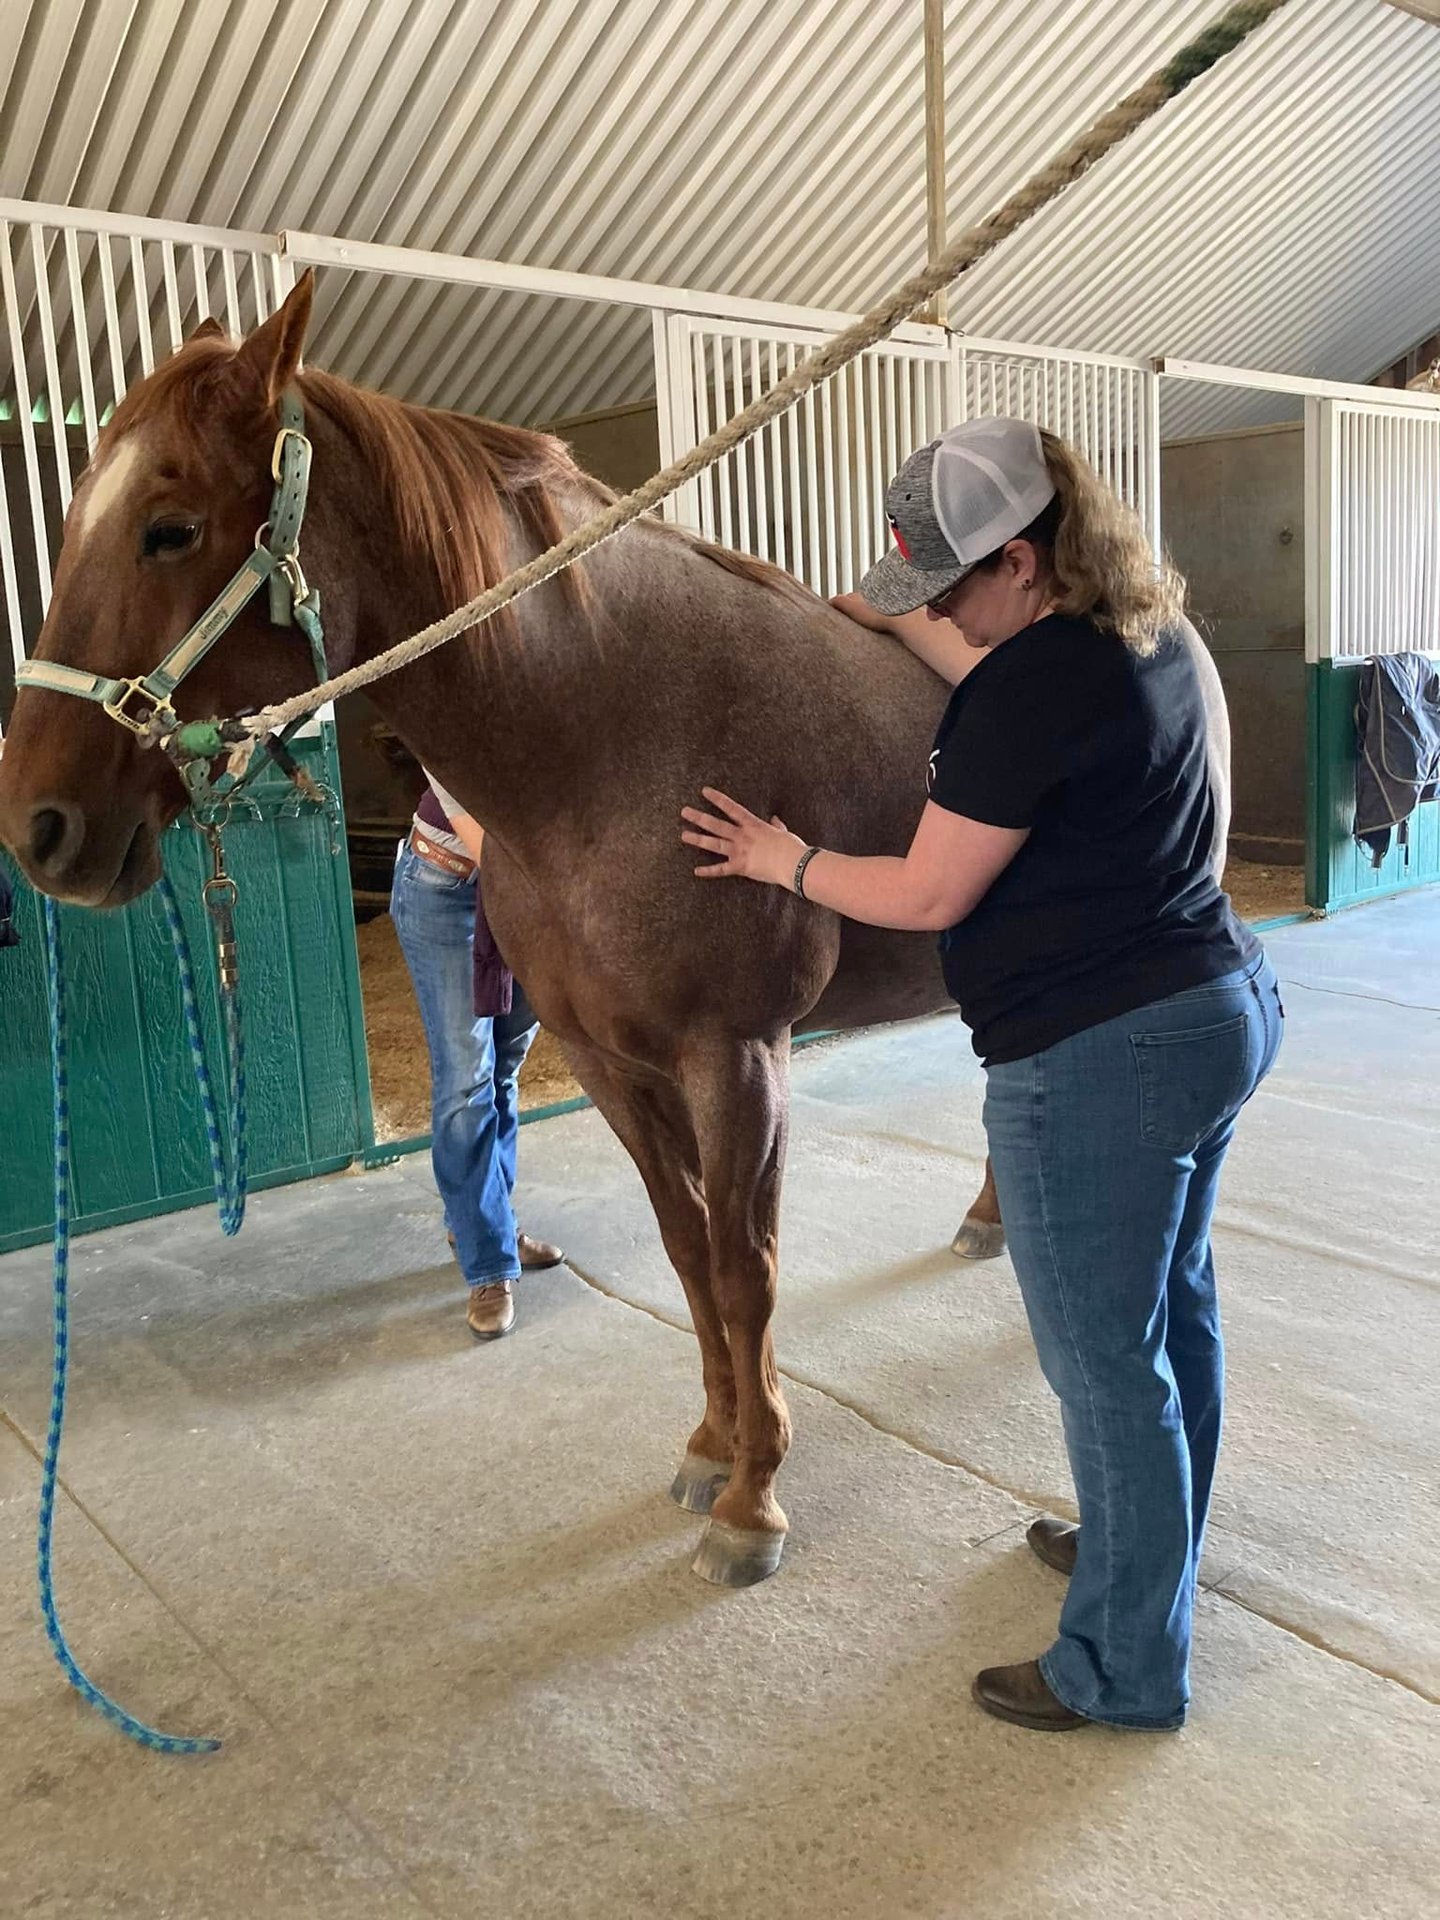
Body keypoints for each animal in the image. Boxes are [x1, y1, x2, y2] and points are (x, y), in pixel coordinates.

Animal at [0, 273, 1004, 1587]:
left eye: (168, 527)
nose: (39, 826)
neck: (612, 736)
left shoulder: (735, 1057)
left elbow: (747, 1270)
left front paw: (755, 1502)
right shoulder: (612, 1061)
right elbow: (689, 1255)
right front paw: (710, 1448)